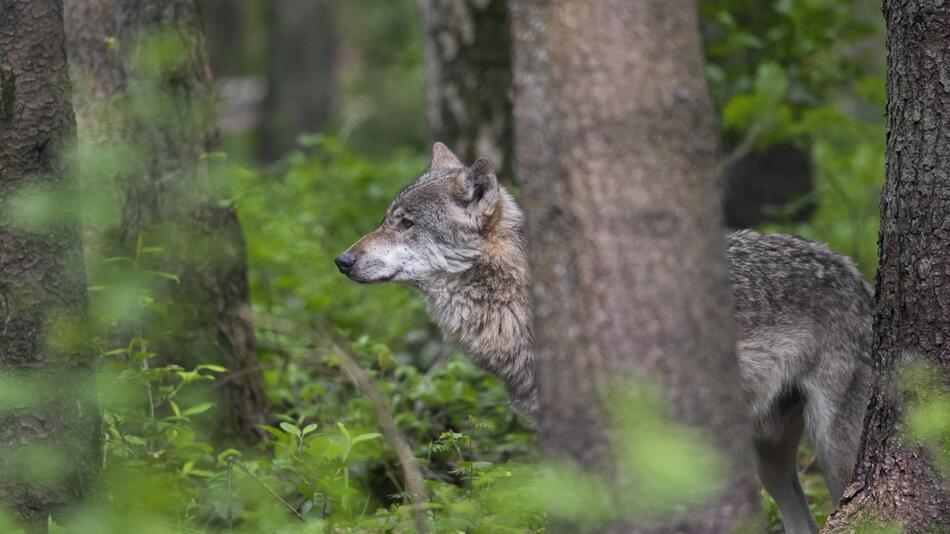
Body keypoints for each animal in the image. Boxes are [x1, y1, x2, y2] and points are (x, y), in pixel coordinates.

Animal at [338, 143, 872, 534]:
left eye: (406, 223)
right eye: (388, 218)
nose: (342, 260)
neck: (520, 300)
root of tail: (858, 277)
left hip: (834, 450)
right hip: (770, 458)